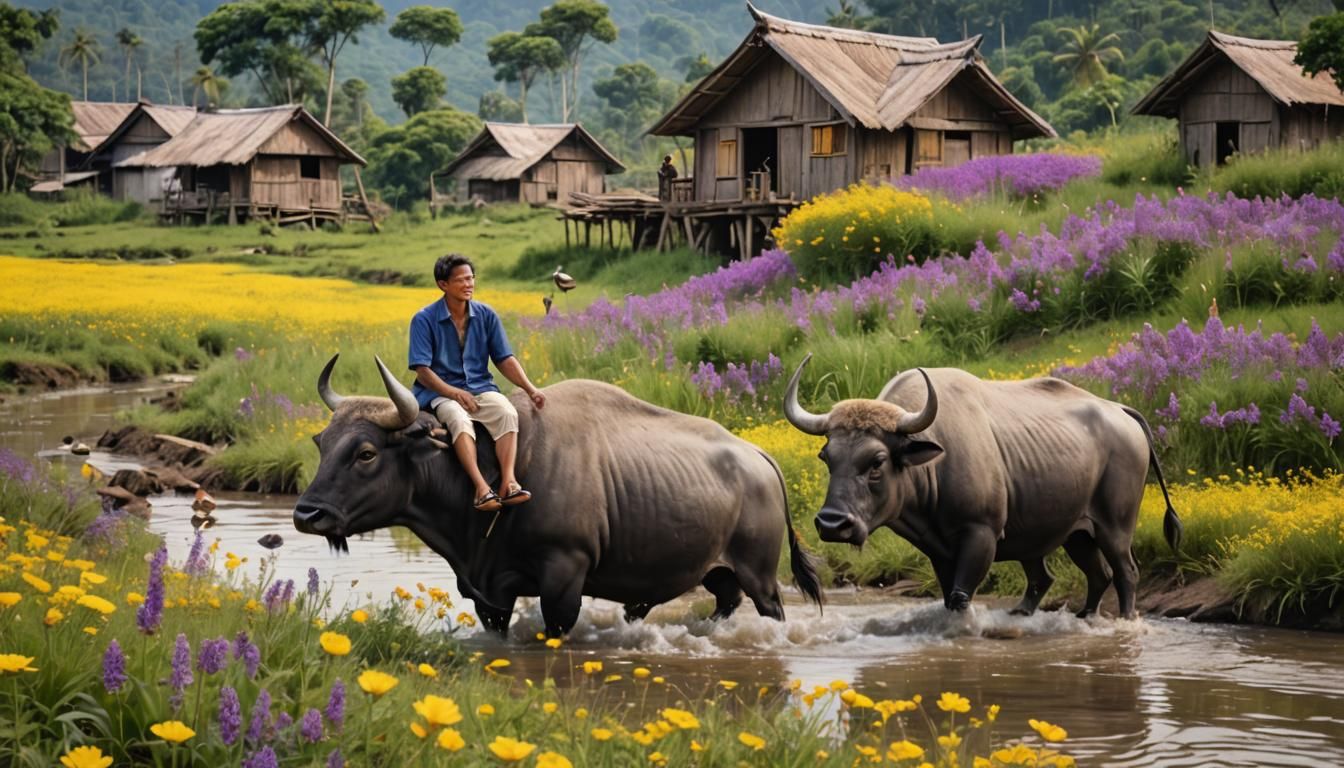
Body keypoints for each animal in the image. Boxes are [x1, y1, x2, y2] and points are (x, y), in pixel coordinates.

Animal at [294, 355, 823, 636]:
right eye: (321, 442)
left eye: (365, 453)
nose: (306, 514)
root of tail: (758, 456)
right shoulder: (489, 594)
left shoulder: (564, 576)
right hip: (720, 576)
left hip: (760, 578)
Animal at [783, 355, 1181, 619]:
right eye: (826, 456)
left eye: (877, 462)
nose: (832, 524)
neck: (934, 462)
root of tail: (1121, 411)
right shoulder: (938, 549)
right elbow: (948, 597)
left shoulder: (982, 534)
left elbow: (961, 598)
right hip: (1074, 532)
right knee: (1083, 575)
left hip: (1115, 527)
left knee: (1125, 573)